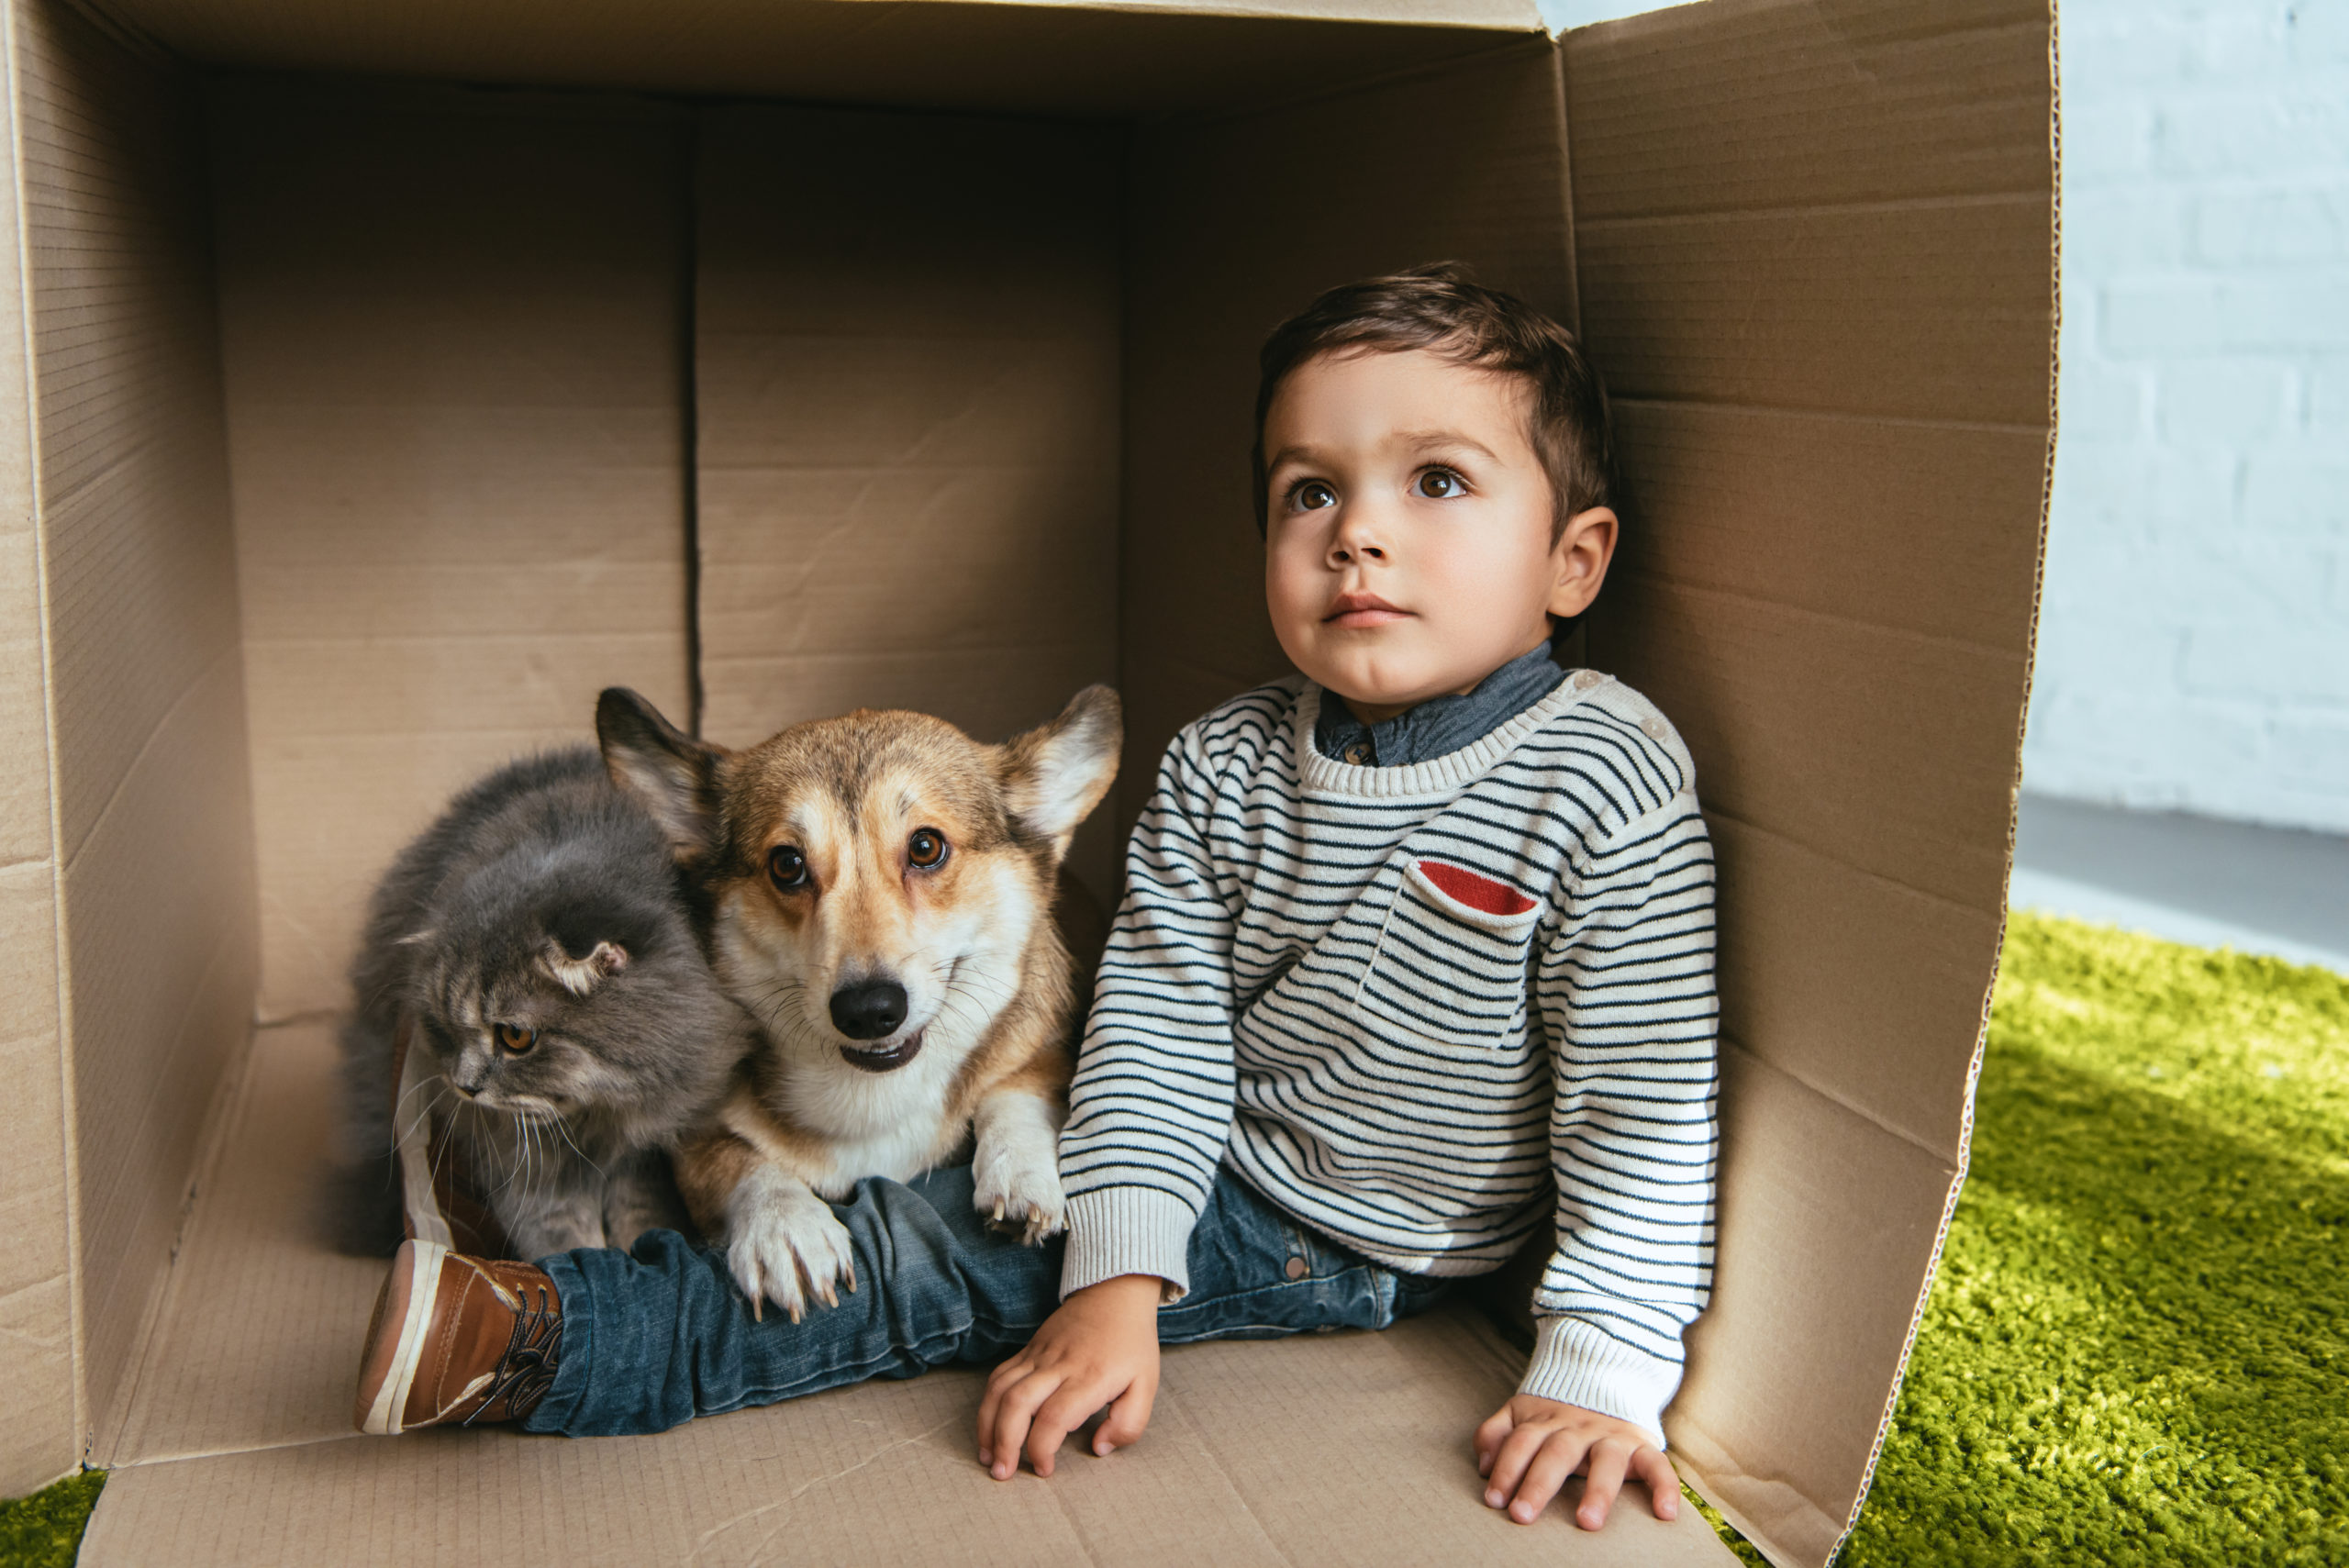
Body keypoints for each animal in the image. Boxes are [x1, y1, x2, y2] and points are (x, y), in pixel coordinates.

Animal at [340, 746, 751, 1258]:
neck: (597, 1117)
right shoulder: (528, 1170)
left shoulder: (646, 1160)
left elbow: (642, 1220)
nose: (463, 1087)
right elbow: (564, 1244)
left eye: (516, 1037)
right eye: (444, 1028)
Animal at [601, 685, 1122, 1323]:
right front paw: (785, 1227)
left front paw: (1020, 1170)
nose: (870, 1010)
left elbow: (1016, 1088)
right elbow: (737, 1161)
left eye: (926, 847)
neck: (876, 1098)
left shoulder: (1044, 1050)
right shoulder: (693, 1139)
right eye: (787, 864)